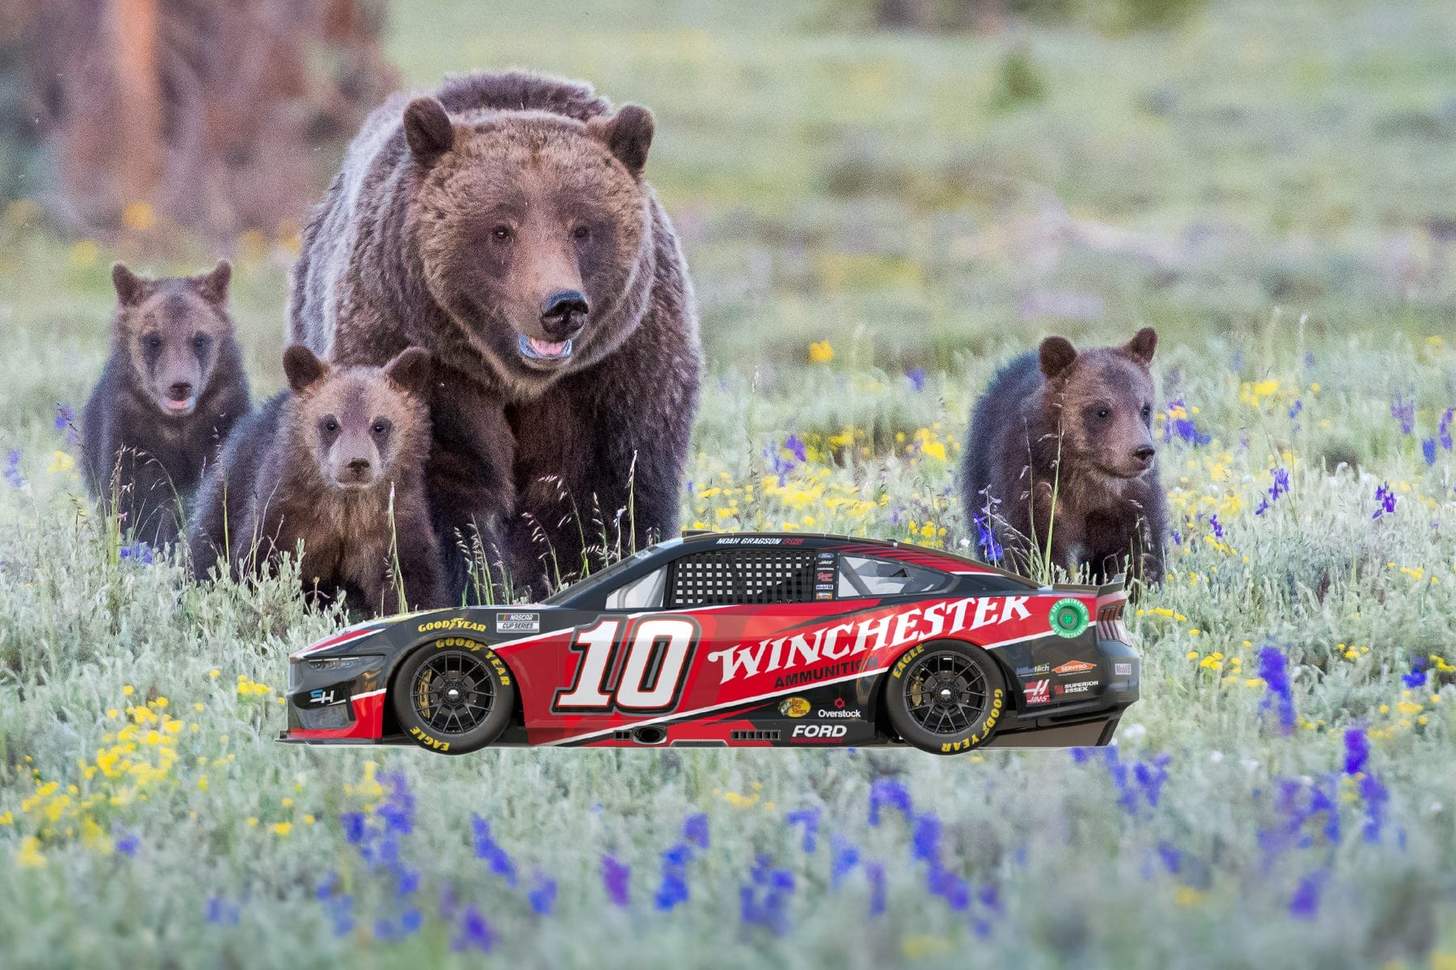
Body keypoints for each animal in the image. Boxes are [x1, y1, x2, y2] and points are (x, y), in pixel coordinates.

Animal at [81, 261, 250, 546]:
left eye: (200, 339)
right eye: (153, 339)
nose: (179, 385)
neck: (178, 427)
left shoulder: (222, 421)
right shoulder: (132, 434)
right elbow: (136, 503)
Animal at [188, 345, 444, 615]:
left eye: (380, 425)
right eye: (331, 423)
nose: (357, 463)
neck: (345, 509)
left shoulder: (393, 524)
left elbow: (410, 583)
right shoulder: (285, 517)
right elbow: (255, 566)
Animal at [288, 71, 701, 600]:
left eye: (583, 228)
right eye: (501, 230)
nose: (561, 306)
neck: (516, 380)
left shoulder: (614, 372)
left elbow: (610, 493)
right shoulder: (418, 356)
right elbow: (435, 490)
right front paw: (467, 582)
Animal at [962, 328, 1167, 586]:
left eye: (1145, 409)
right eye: (1102, 411)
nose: (1142, 451)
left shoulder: (1128, 502)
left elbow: (1136, 550)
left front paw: (1137, 583)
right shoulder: (1033, 486)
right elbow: (1034, 546)